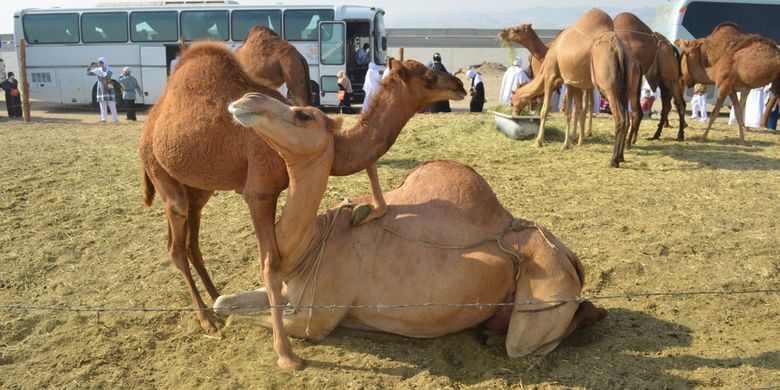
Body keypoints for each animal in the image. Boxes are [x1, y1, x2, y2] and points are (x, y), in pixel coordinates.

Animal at [138, 41, 466, 370]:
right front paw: (286, 355)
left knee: (192, 238)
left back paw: (215, 293)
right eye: (430, 78)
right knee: (176, 240)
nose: (460, 86)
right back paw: (207, 320)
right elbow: (271, 267)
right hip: (159, 170)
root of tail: (152, 121)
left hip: (199, 188)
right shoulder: (259, 191)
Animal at [216, 91, 608, 360]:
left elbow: (251, 318)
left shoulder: (314, 320)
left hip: (542, 300)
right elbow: (224, 302)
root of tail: (571, 259)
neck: (310, 245)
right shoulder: (288, 292)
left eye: (302, 115)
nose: (247, 99)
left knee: (527, 341)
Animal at [616, 12, 688, 144]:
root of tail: (670, 46)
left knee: (680, 103)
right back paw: (655, 135)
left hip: (671, 78)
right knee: (666, 106)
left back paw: (680, 135)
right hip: (662, 82)